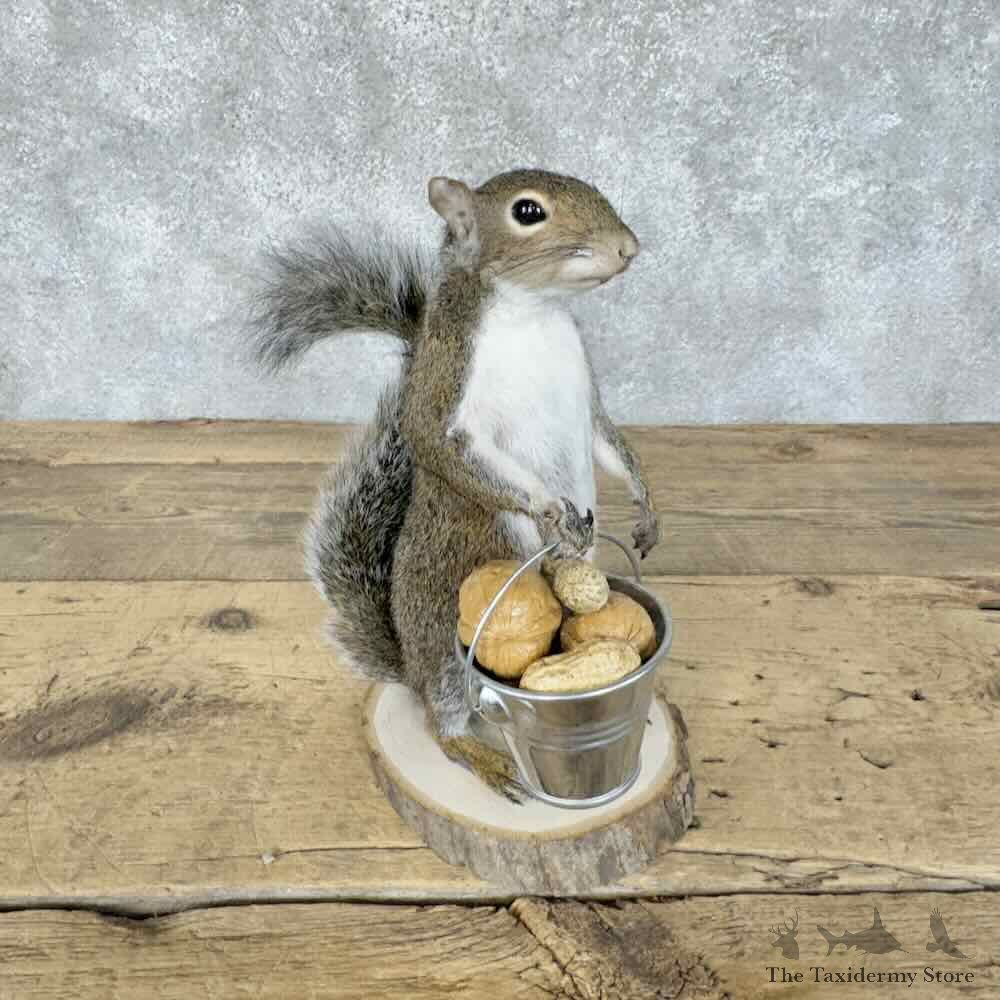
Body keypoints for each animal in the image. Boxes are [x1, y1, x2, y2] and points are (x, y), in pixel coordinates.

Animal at [249, 169, 660, 802]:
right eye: (528, 211)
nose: (627, 248)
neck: (535, 313)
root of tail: (411, 672)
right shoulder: (446, 394)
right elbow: (448, 451)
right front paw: (550, 511)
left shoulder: (587, 397)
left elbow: (606, 441)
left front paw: (645, 506)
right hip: (448, 644)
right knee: (442, 723)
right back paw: (481, 756)